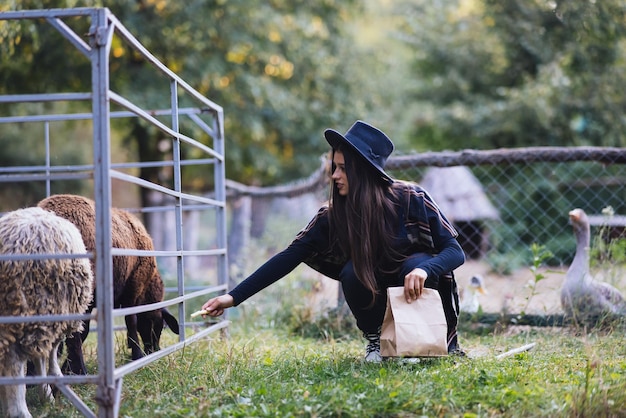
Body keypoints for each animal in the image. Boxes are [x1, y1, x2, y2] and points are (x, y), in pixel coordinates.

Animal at [36, 194, 178, 374]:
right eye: (157, 323)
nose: (154, 351)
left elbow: (84, 330)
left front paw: (65, 366)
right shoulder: (133, 289)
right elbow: (131, 321)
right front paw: (137, 356)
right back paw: (81, 371)